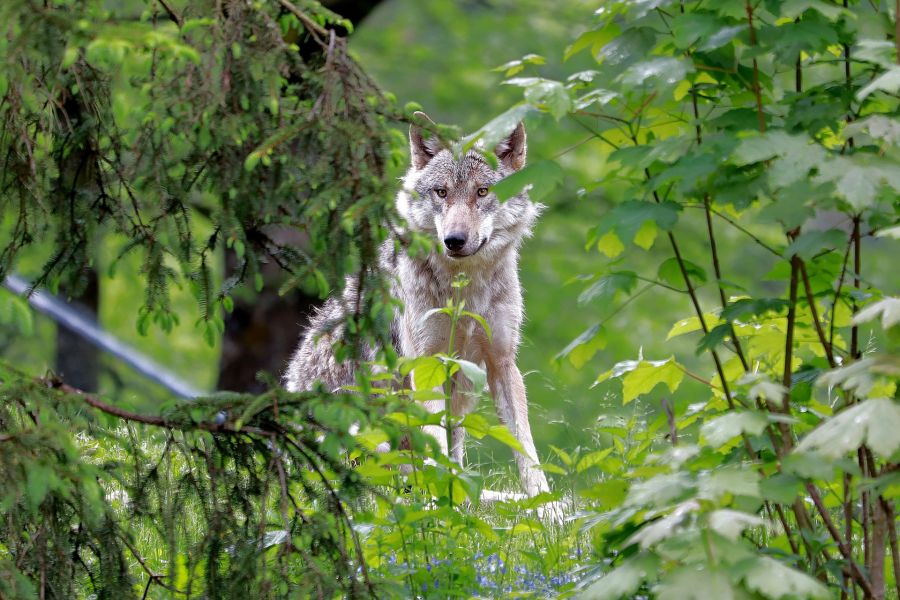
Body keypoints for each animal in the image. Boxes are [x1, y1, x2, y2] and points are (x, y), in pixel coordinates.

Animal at [284, 112, 550, 498]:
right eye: (442, 192)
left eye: (482, 192)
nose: (454, 240)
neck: (463, 292)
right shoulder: (427, 363)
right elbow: (435, 447)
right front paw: (441, 504)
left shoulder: (502, 362)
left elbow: (526, 448)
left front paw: (545, 503)